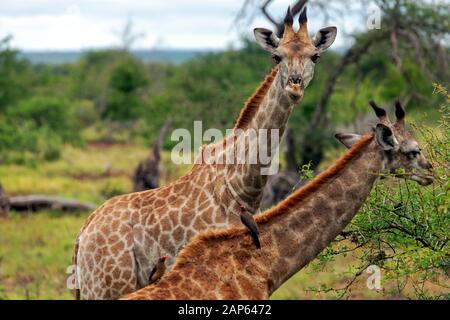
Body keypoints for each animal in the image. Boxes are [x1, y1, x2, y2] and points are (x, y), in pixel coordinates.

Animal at [73, 4, 338, 300]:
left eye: (315, 56)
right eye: (276, 56)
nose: (294, 87)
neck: (241, 185)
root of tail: (82, 236)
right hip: (108, 286)